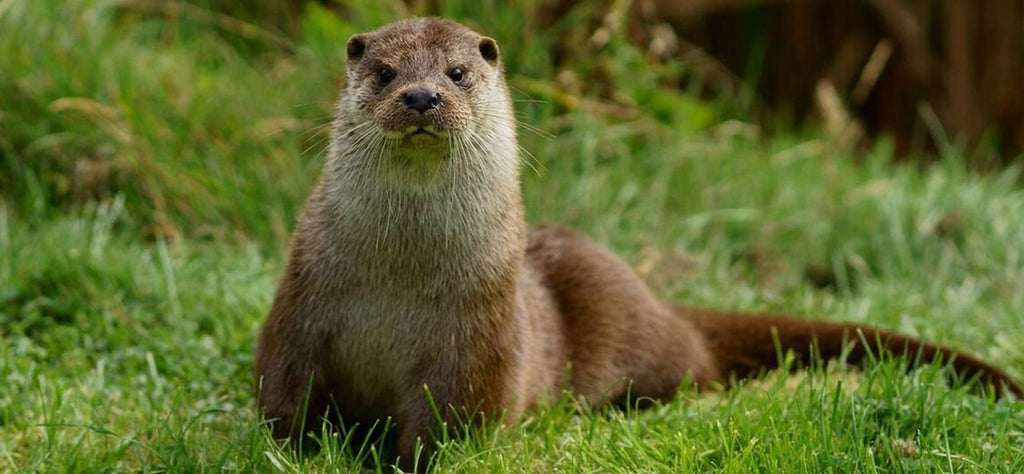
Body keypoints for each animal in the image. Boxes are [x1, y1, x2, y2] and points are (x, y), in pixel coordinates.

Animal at [258, 17, 1024, 470]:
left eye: (457, 72)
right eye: (385, 72)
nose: (421, 97)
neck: (399, 285)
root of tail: (660, 303)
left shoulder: (477, 345)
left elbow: (448, 427)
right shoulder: (299, 308)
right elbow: (284, 395)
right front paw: (296, 451)